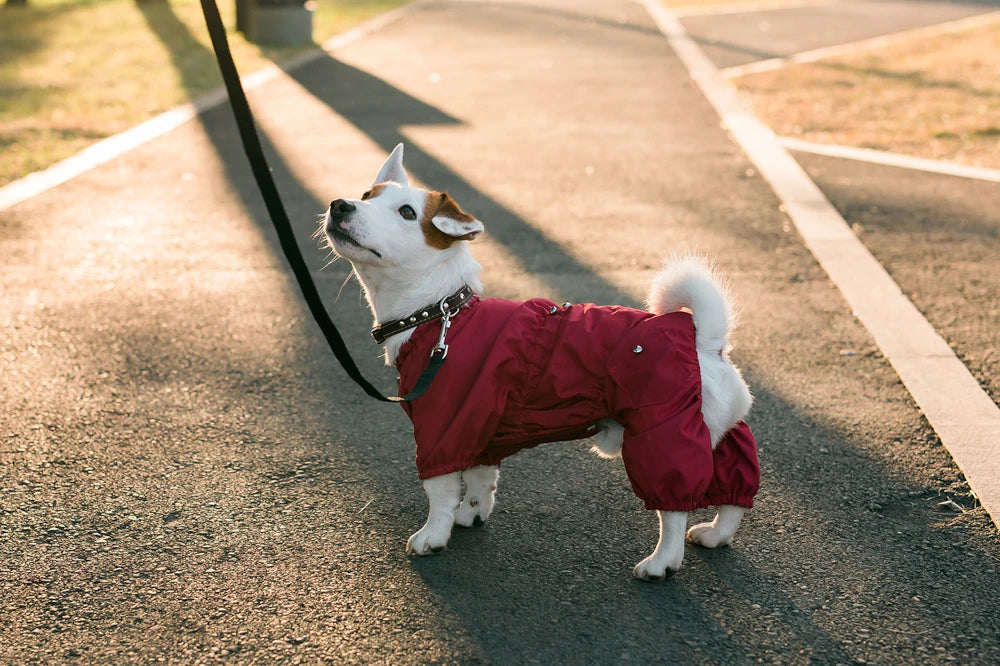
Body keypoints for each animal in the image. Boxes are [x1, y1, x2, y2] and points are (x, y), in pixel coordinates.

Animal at [320, 144, 756, 576]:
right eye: (367, 195)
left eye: (408, 212)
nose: (340, 205)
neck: (439, 311)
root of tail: (705, 340)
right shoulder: (480, 431)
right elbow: (480, 480)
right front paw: (472, 513)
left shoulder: (444, 426)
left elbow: (440, 491)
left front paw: (433, 535)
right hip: (715, 435)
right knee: (734, 489)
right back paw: (716, 534)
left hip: (661, 437)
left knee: (673, 509)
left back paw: (662, 561)